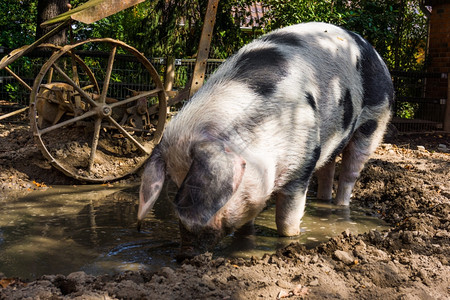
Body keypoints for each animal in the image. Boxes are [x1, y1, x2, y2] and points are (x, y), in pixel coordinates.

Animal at [137, 22, 394, 250]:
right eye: (175, 182)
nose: (186, 253)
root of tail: (375, 54)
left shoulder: (304, 160)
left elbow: (286, 218)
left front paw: (291, 239)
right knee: (328, 169)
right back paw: (324, 203)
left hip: (375, 120)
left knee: (351, 171)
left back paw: (341, 208)